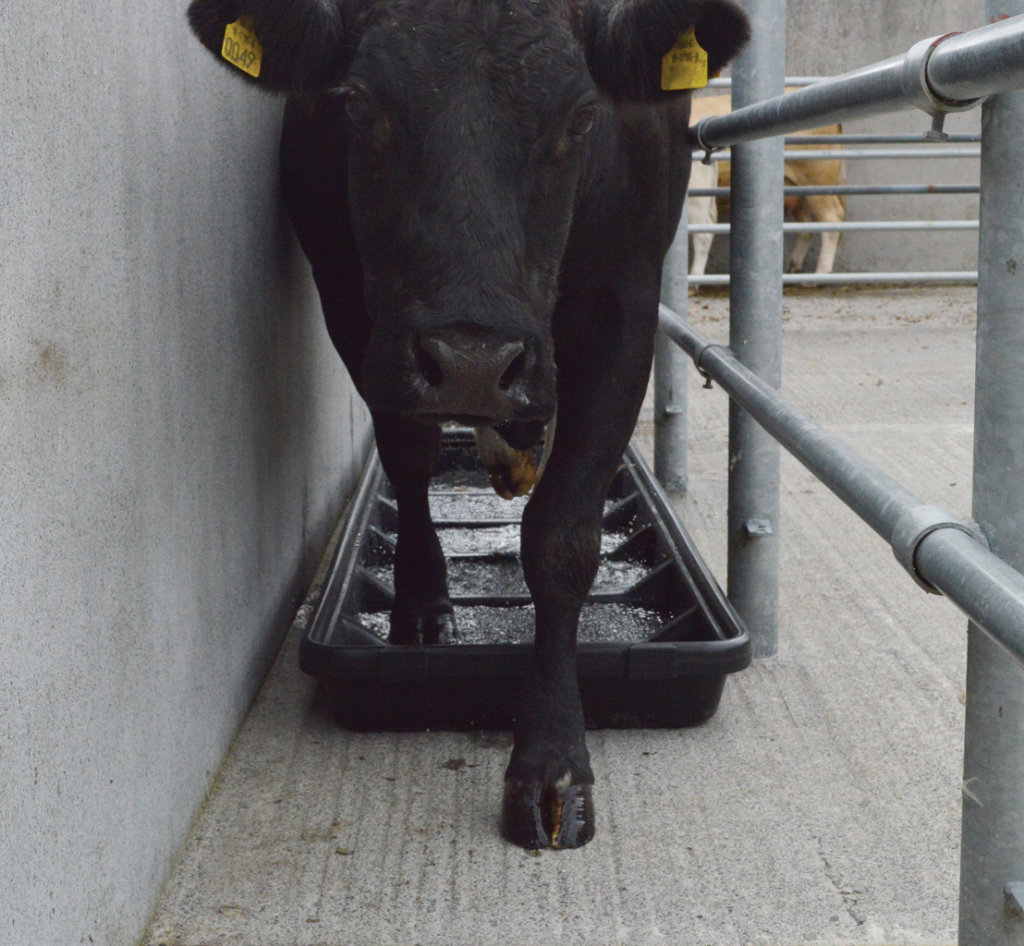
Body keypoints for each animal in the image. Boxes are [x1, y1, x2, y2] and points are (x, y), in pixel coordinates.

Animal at [186, 0, 745, 851]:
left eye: (582, 115)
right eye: (358, 103)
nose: (475, 363)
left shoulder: (625, 299)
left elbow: (563, 538)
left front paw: (552, 766)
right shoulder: (358, 307)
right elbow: (409, 452)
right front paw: (420, 603)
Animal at [688, 90, 847, 278]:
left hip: (818, 179)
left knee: (832, 218)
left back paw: (819, 274)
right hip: (799, 190)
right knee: (807, 224)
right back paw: (793, 267)